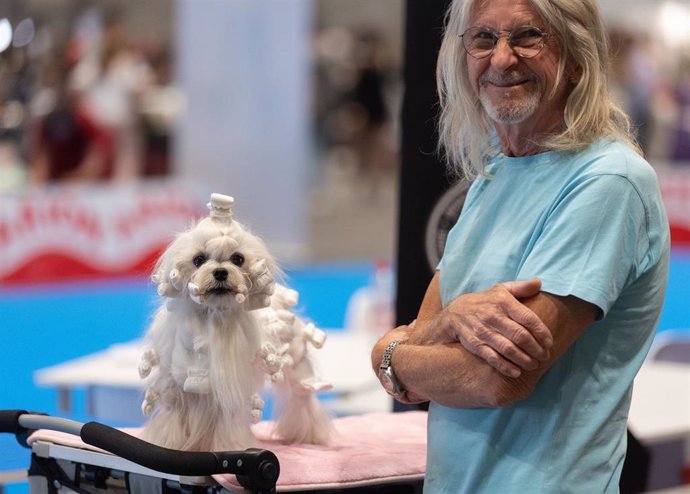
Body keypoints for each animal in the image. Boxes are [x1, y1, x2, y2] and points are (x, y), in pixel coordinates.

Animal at [138, 192, 332, 452]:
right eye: (198, 259)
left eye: (237, 259)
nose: (220, 272)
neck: (211, 318)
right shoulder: (176, 390)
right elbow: (172, 422)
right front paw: (167, 445)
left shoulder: (228, 391)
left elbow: (225, 426)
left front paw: (229, 447)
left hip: (298, 365)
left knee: (303, 400)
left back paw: (309, 435)